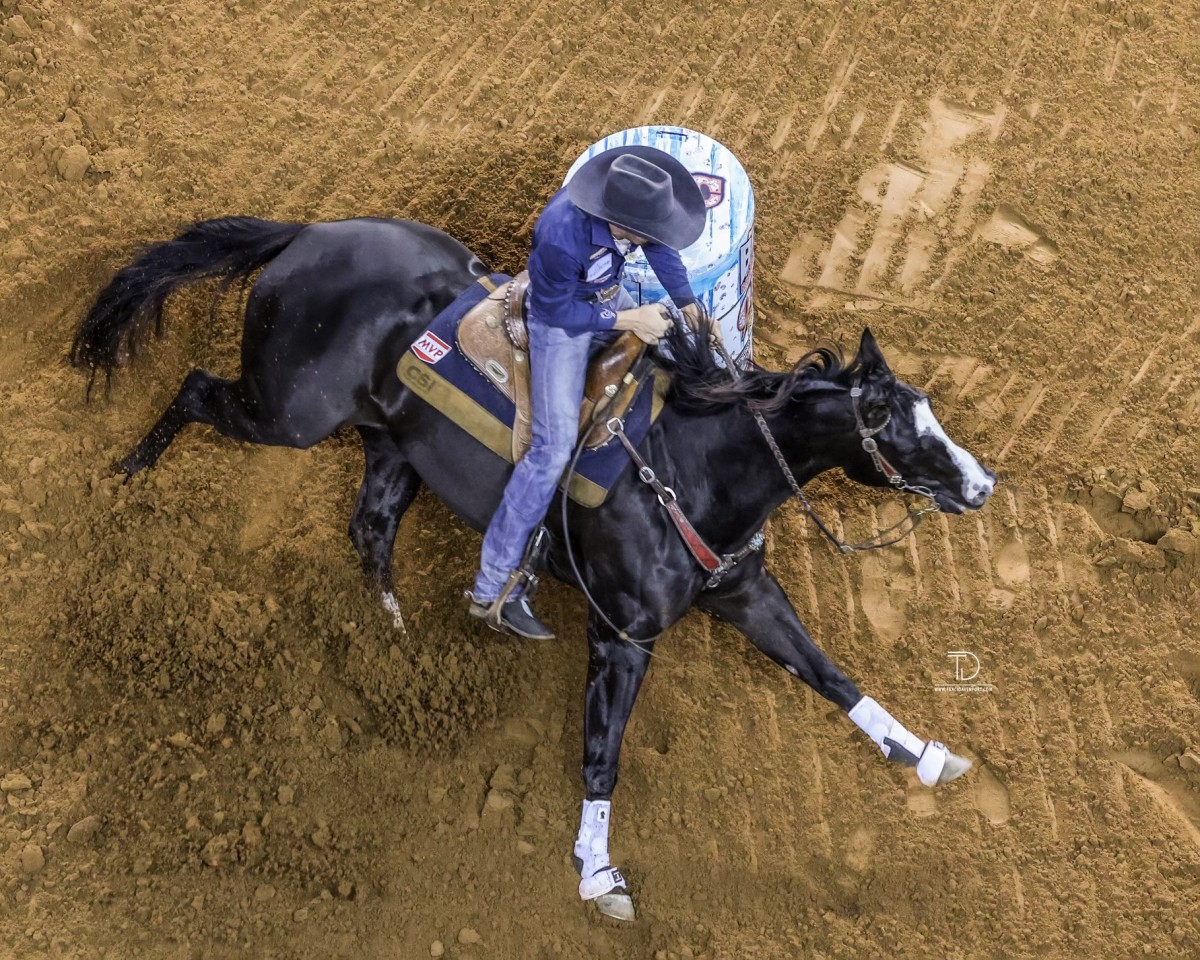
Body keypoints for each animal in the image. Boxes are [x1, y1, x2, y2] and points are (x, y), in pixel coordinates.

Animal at [70, 217, 998, 921]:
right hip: (287, 415)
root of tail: (307, 235)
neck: (688, 464)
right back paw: (127, 476)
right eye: (895, 425)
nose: (981, 485)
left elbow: (832, 677)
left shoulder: (743, 590)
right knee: (196, 388)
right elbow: (601, 755)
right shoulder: (621, 635)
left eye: (930, 410)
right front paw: (599, 876)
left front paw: (927, 755)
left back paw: (397, 644)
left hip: (386, 445)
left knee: (370, 530)